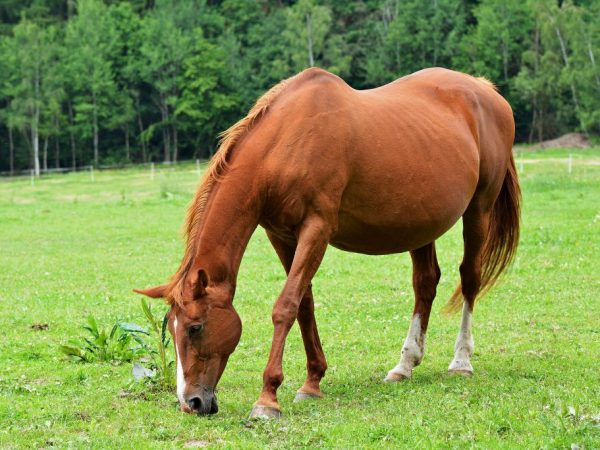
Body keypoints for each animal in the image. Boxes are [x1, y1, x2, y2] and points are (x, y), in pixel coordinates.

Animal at [135, 67, 520, 418]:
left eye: (195, 327)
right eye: (171, 327)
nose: (191, 402)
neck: (286, 143)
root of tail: (485, 90)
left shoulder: (316, 228)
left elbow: (286, 305)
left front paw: (267, 398)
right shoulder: (280, 234)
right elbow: (304, 303)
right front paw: (312, 382)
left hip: (479, 210)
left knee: (469, 278)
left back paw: (461, 361)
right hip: (421, 223)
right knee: (425, 284)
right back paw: (404, 365)